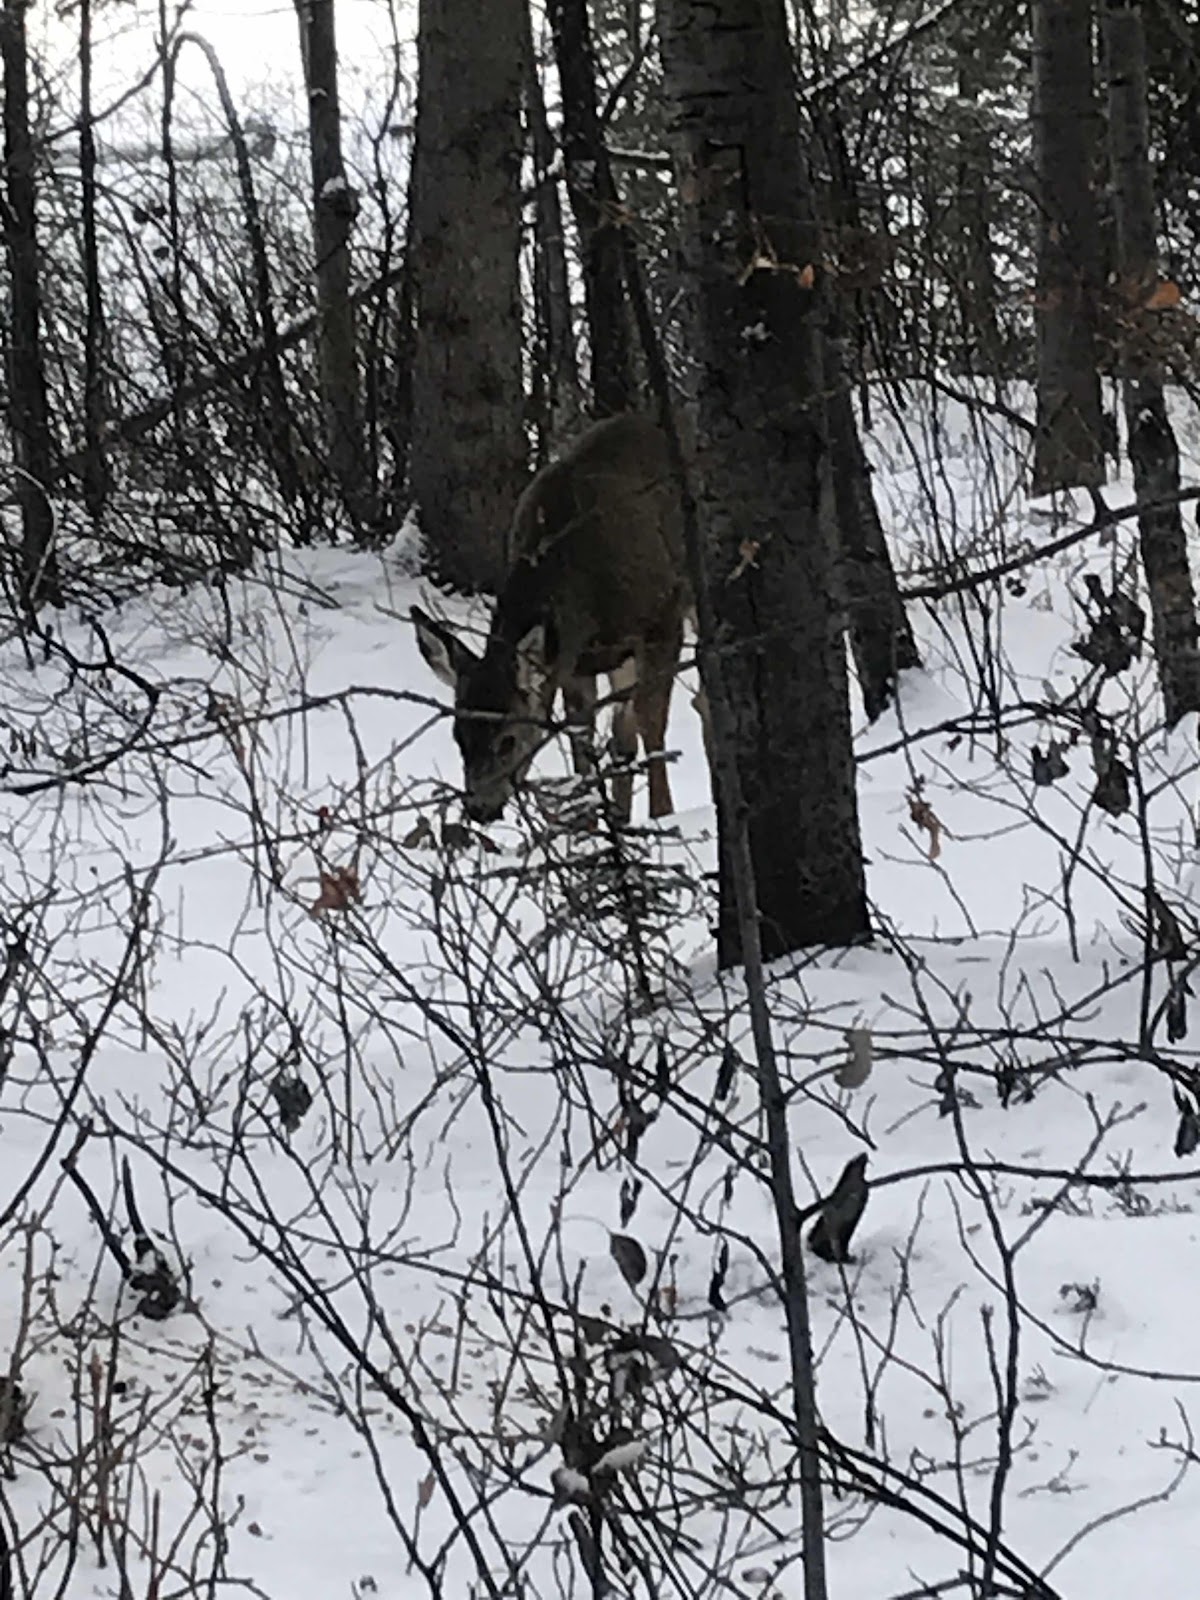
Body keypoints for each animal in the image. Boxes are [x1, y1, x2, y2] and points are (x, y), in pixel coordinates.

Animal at [412, 413, 705, 827]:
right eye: (458, 736)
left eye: (508, 740)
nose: (479, 808)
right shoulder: (571, 658)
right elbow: (582, 738)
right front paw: (589, 820)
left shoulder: (662, 617)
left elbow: (653, 724)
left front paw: (663, 815)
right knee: (625, 733)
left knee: (698, 702)